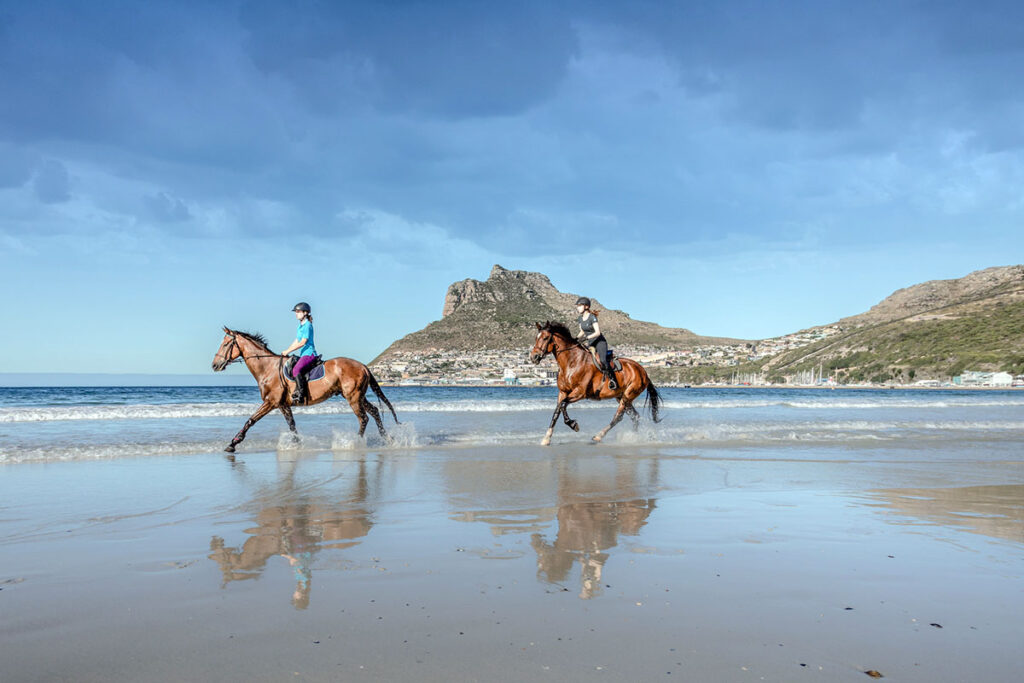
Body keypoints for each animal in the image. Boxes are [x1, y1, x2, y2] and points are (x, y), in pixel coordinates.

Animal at [210, 327, 395, 456]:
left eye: (225, 344)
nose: (214, 365)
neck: (268, 368)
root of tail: (363, 366)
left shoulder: (270, 402)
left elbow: (250, 421)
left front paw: (232, 444)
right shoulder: (283, 405)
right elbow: (292, 425)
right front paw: (297, 444)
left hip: (353, 397)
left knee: (363, 418)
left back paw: (355, 442)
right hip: (357, 396)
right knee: (375, 411)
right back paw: (387, 438)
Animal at [528, 321, 663, 448]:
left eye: (545, 338)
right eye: (535, 338)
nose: (533, 357)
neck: (572, 362)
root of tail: (643, 371)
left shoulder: (579, 392)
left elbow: (563, 405)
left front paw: (573, 425)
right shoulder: (563, 392)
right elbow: (557, 411)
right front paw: (546, 439)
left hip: (628, 395)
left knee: (618, 416)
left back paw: (599, 436)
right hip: (621, 396)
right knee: (635, 416)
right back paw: (633, 436)